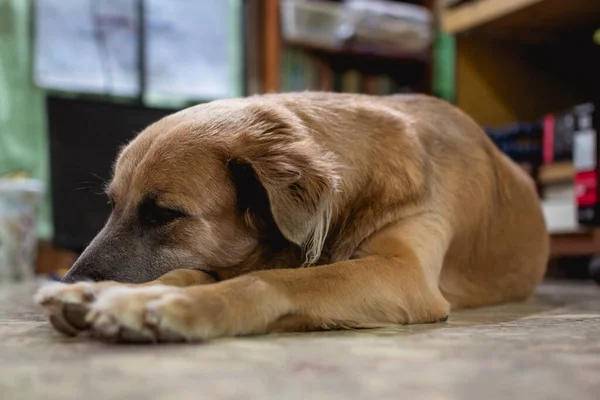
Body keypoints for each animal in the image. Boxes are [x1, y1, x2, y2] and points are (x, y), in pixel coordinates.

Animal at [34, 92, 548, 342]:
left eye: (163, 214)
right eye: (111, 204)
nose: (68, 279)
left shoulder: (404, 273)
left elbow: (269, 281)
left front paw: (160, 305)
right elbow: (196, 272)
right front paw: (103, 294)